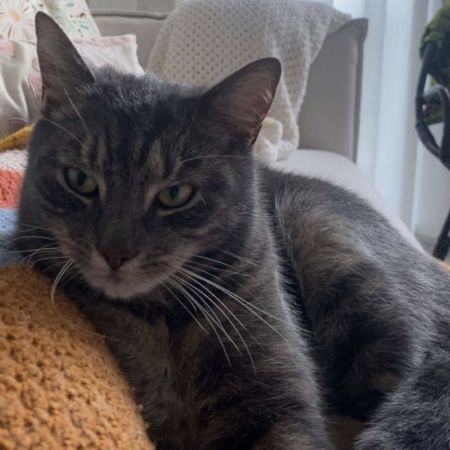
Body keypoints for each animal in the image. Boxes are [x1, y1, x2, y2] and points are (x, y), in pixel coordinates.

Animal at [14, 12, 450, 450]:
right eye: (80, 180)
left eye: (175, 194)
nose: (115, 253)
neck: (164, 322)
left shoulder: (278, 403)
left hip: (331, 250)